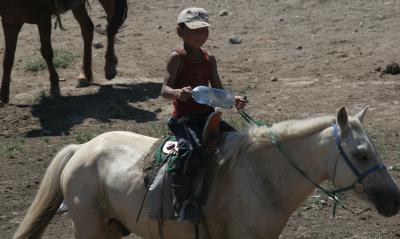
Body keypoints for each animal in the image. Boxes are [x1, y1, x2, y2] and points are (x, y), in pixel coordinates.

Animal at [13, 107, 400, 239]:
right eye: (361, 154)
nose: (395, 199)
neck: (262, 177)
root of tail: (81, 149)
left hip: (110, 229)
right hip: (90, 229)